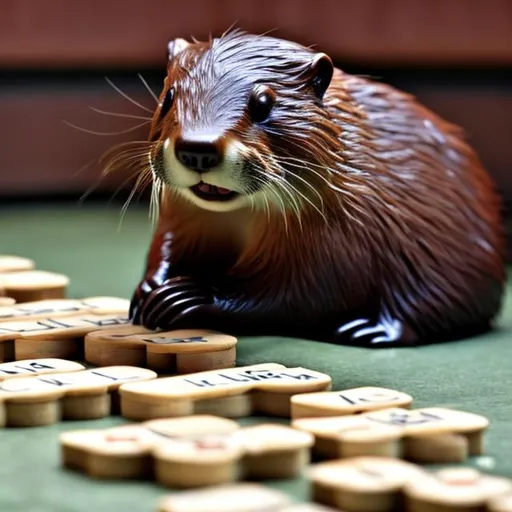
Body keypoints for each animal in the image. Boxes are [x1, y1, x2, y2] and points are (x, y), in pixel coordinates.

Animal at [127, 30, 504, 346]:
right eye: (169, 96)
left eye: (263, 102)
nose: (198, 149)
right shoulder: (183, 217)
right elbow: (166, 248)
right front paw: (148, 289)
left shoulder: (338, 239)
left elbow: (297, 295)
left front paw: (187, 296)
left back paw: (369, 330)